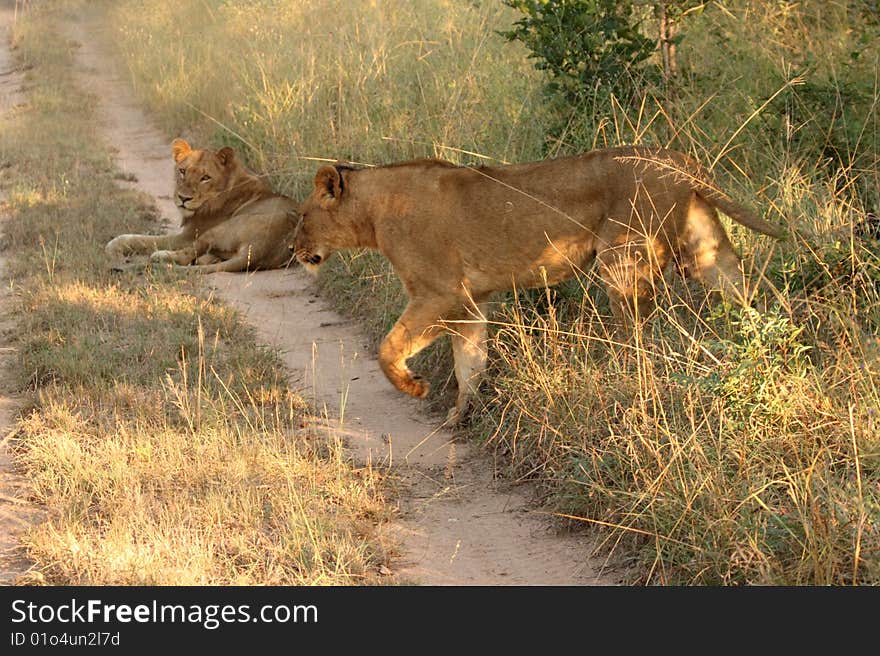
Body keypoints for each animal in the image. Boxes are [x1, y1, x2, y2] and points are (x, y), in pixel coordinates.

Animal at [105, 138, 300, 272]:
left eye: (205, 177)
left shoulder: (188, 236)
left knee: (185, 257)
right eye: (182, 171)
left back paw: (162, 256)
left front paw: (113, 244)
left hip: (218, 230)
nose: (183, 198)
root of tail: (259, 250)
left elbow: (142, 239)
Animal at [292, 146, 780, 422]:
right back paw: (767, 346)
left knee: (639, 333)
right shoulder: (470, 301)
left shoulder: (438, 293)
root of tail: (680, 162)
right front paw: (459, 417)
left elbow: (388, 349)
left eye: (301, 217)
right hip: (706, 252)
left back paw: (626, 378)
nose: (294, 249)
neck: (374, 212)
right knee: (749, 295)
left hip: (622, 259)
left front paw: (416, 388)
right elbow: (470, 362)